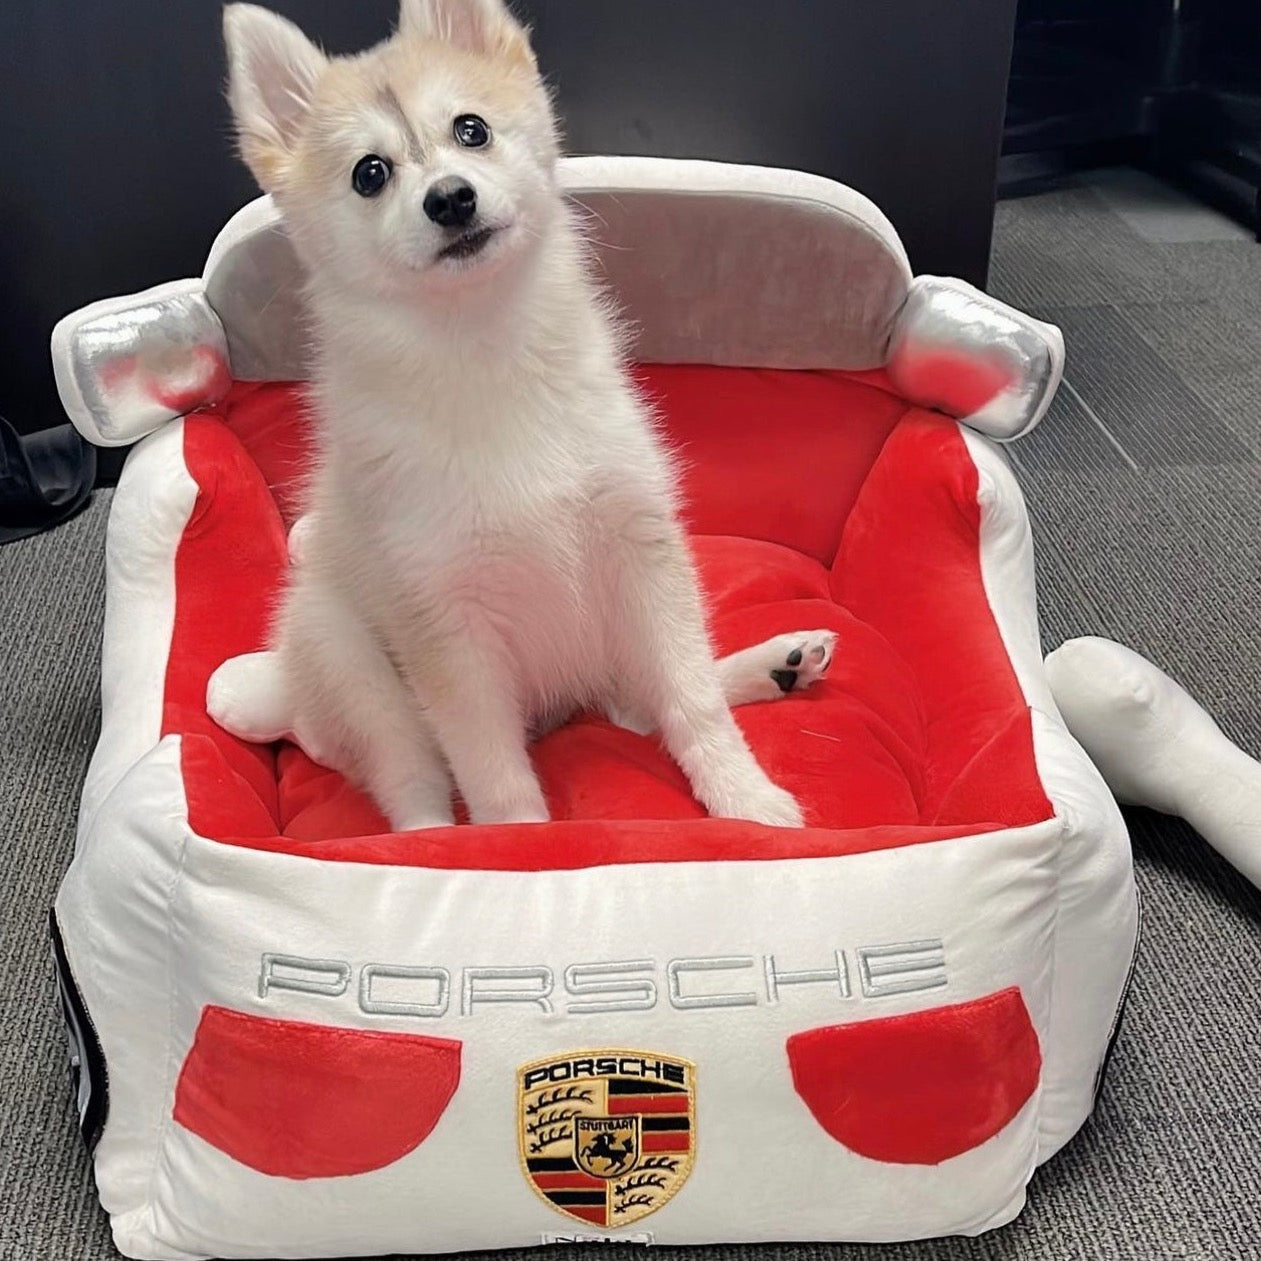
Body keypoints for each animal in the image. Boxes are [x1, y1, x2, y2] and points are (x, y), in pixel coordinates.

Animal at [214, 2, 837, 837]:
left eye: (470, 129)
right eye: (369, 174)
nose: (449, 198)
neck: (483, 350)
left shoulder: (639, 550)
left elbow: (690, 698)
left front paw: (743, 800)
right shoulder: (448, 630)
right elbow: (494, 776)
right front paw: (513, 850)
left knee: (644, 701)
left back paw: (774, 664)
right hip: (352, 664)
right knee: (412, 783)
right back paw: (424, 840)